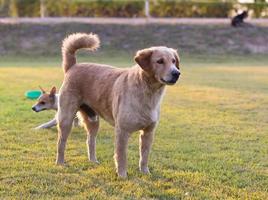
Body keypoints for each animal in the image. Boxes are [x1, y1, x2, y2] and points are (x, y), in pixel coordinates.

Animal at [57, 32, 181, 178]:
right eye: (160, 61)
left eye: (173, 61)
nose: (177, 73)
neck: (148, 93)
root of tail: (73, 66)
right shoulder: (122, 131)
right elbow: (121, 156)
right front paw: (122, 175)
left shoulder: (148, 132)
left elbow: (144, 157)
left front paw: (145, 172)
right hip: (66, 119)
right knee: (61, 143)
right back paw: (60, 163)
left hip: (93, 120)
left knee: (90, 141)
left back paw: (93, 160)